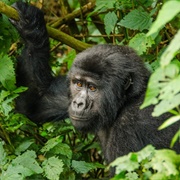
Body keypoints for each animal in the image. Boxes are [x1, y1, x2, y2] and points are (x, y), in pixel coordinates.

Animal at [10, 1, 180, 173]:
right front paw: (30, 26)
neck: (125, 103)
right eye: (78, 84)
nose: (78, 103)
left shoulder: (130, 126)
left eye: (92, 88)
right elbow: (35, 100)